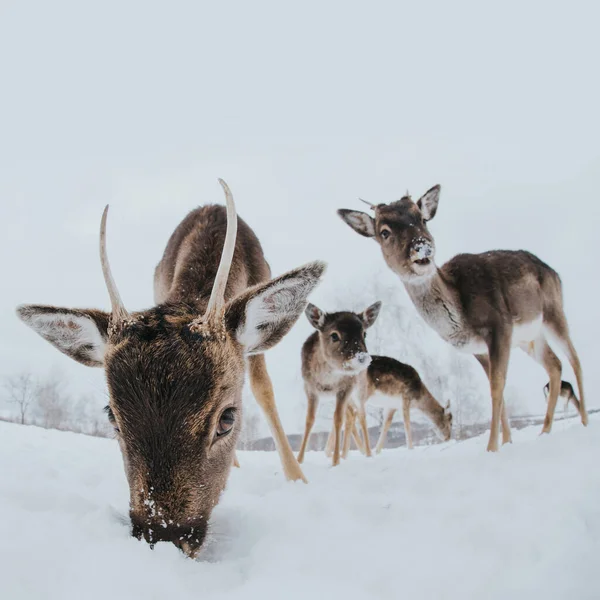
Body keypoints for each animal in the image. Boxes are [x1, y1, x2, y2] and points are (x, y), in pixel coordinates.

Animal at [298, 302, 382, 466]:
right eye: (334, 335)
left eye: (364, 333)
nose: (362, 357)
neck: (327, 381)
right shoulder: (309, 388)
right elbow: (309, 420)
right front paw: (299, 460)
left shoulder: (346, 387)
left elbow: (338, 419)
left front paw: (335, 462)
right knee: (350, 414)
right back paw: (341, 453)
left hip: (359, 390)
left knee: (360, 415)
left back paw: (366, 453)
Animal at [340, 185, 588, 452]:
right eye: (384, 231)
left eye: (422, 218)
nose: (421, 246)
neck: (461, 318)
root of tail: (553, 272)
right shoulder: (478, 349)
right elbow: (496, 386)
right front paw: (506, 442)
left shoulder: (500, 326)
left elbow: (497, 385)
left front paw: (492, 447)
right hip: (530, 338)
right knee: (555, 364)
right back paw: (545, 430)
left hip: (553, 312)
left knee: (574, 359)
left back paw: (584, 421)